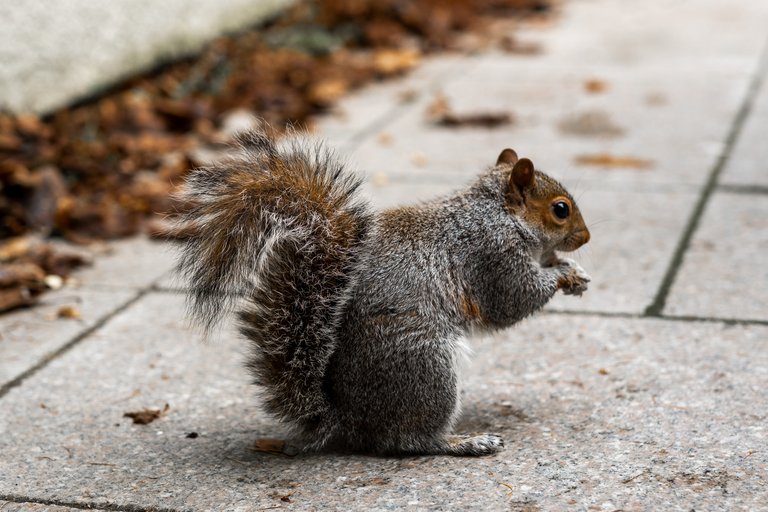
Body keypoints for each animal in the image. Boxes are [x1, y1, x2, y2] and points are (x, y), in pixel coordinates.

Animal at [177, 128, 592, 456]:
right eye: (560, 209)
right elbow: (515, 299)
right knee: (408, 440)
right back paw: (463, 442)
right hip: (425, 364)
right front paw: (563, 275)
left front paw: (575, 272)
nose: (586, 238)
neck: (498, 212)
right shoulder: (492, 254)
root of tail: (349, 421)